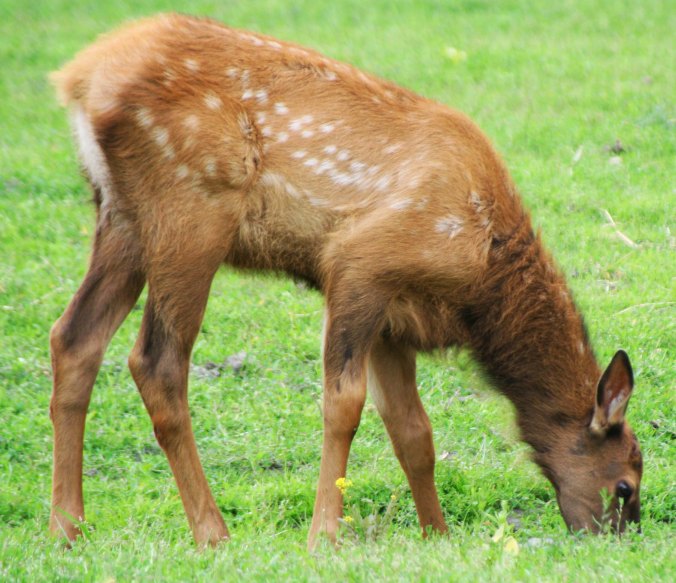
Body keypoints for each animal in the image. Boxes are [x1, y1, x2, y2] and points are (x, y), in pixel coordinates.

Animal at [48, 13, 642, 549]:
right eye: (625, 486)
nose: (617, 539)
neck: (481, 280)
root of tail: (79, 79)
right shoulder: (361, 259)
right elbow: (344, 404)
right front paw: (325, 536)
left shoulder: (395, 318)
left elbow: (413, 429)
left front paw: (437, 534)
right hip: (189, 211)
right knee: (156, 362)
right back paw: (212, 534)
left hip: (120, 217)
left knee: (73, 337)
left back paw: (67, 528)